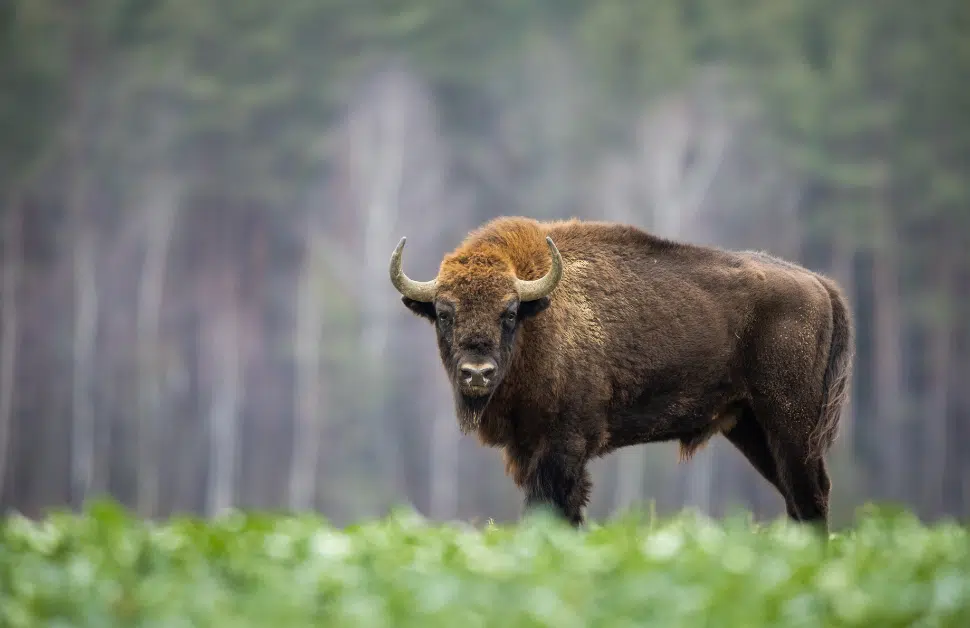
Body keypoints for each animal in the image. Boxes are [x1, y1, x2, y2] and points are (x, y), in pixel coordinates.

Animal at [389, 216, 853, 531]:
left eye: (509, 312)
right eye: (444, 313)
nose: (477, 373)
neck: (539, 319)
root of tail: (820, 284)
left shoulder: (563, 446)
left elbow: (557, 509)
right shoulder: (526, 448)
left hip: (791, 424)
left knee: (811, 493)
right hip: (751, 428)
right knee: (795, 496)